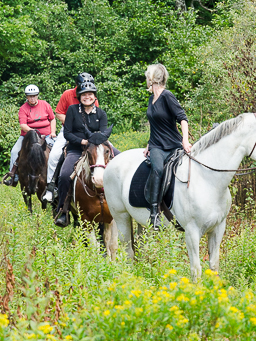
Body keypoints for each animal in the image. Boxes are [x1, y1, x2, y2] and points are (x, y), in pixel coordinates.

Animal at [72, 129, 118, 258]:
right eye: (88, 152)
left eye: (107, 151)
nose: (99, 179)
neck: (100, 192)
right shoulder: (86, 220)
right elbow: (94, 247)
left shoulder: (113, 218)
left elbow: (112, 245)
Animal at [103, 112, 256, 278]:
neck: (207, 179)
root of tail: (112, 163)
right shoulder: (192, 232)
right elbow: (196, 270)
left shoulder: (218, 228)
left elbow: (214, 266)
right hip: (121, 217)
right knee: (128, 252)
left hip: (142, 223)